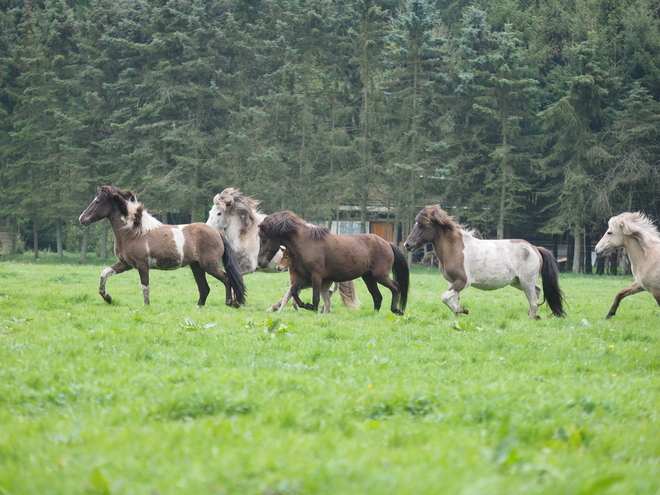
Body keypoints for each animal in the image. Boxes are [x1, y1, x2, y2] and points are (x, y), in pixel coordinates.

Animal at [78, 187, 246, 308]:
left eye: (97, 202)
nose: (82, 219)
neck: (133, 231)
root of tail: (217, 232)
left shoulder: (142, 265)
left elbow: (145, 286)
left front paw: (146, 306)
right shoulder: (125, 264)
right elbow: (104, 273)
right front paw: (107, 297)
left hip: (209, 265)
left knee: (226, 279)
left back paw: (229, 302)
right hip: (196, 266)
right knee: (204, 288)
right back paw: (198, 306)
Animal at [256, 211, 408, 316]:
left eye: (264, 239)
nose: (260, 263)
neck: (306, 243)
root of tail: (388, 244)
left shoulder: (316, 276)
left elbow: (315, 297)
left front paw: (313, 309)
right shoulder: (305, 276)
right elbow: (294, 290)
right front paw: (305, 305)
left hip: (380, 276)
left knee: (395, 287)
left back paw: (396, 310)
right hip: (369, 277)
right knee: (377, 296)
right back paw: (374, 314)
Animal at [402, 206, 568, 320]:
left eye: (421, 226)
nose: (407, 245)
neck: (454, 249)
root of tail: (534, 248)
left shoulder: (463, 281)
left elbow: (444, 298)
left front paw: (462, 310)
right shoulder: (453, 282)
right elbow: (453, 300)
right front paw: (459, 312)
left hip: (526, 281)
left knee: (533, 301)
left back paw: (531, 319)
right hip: (518, 282)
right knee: (537, 291)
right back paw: (534, 316)